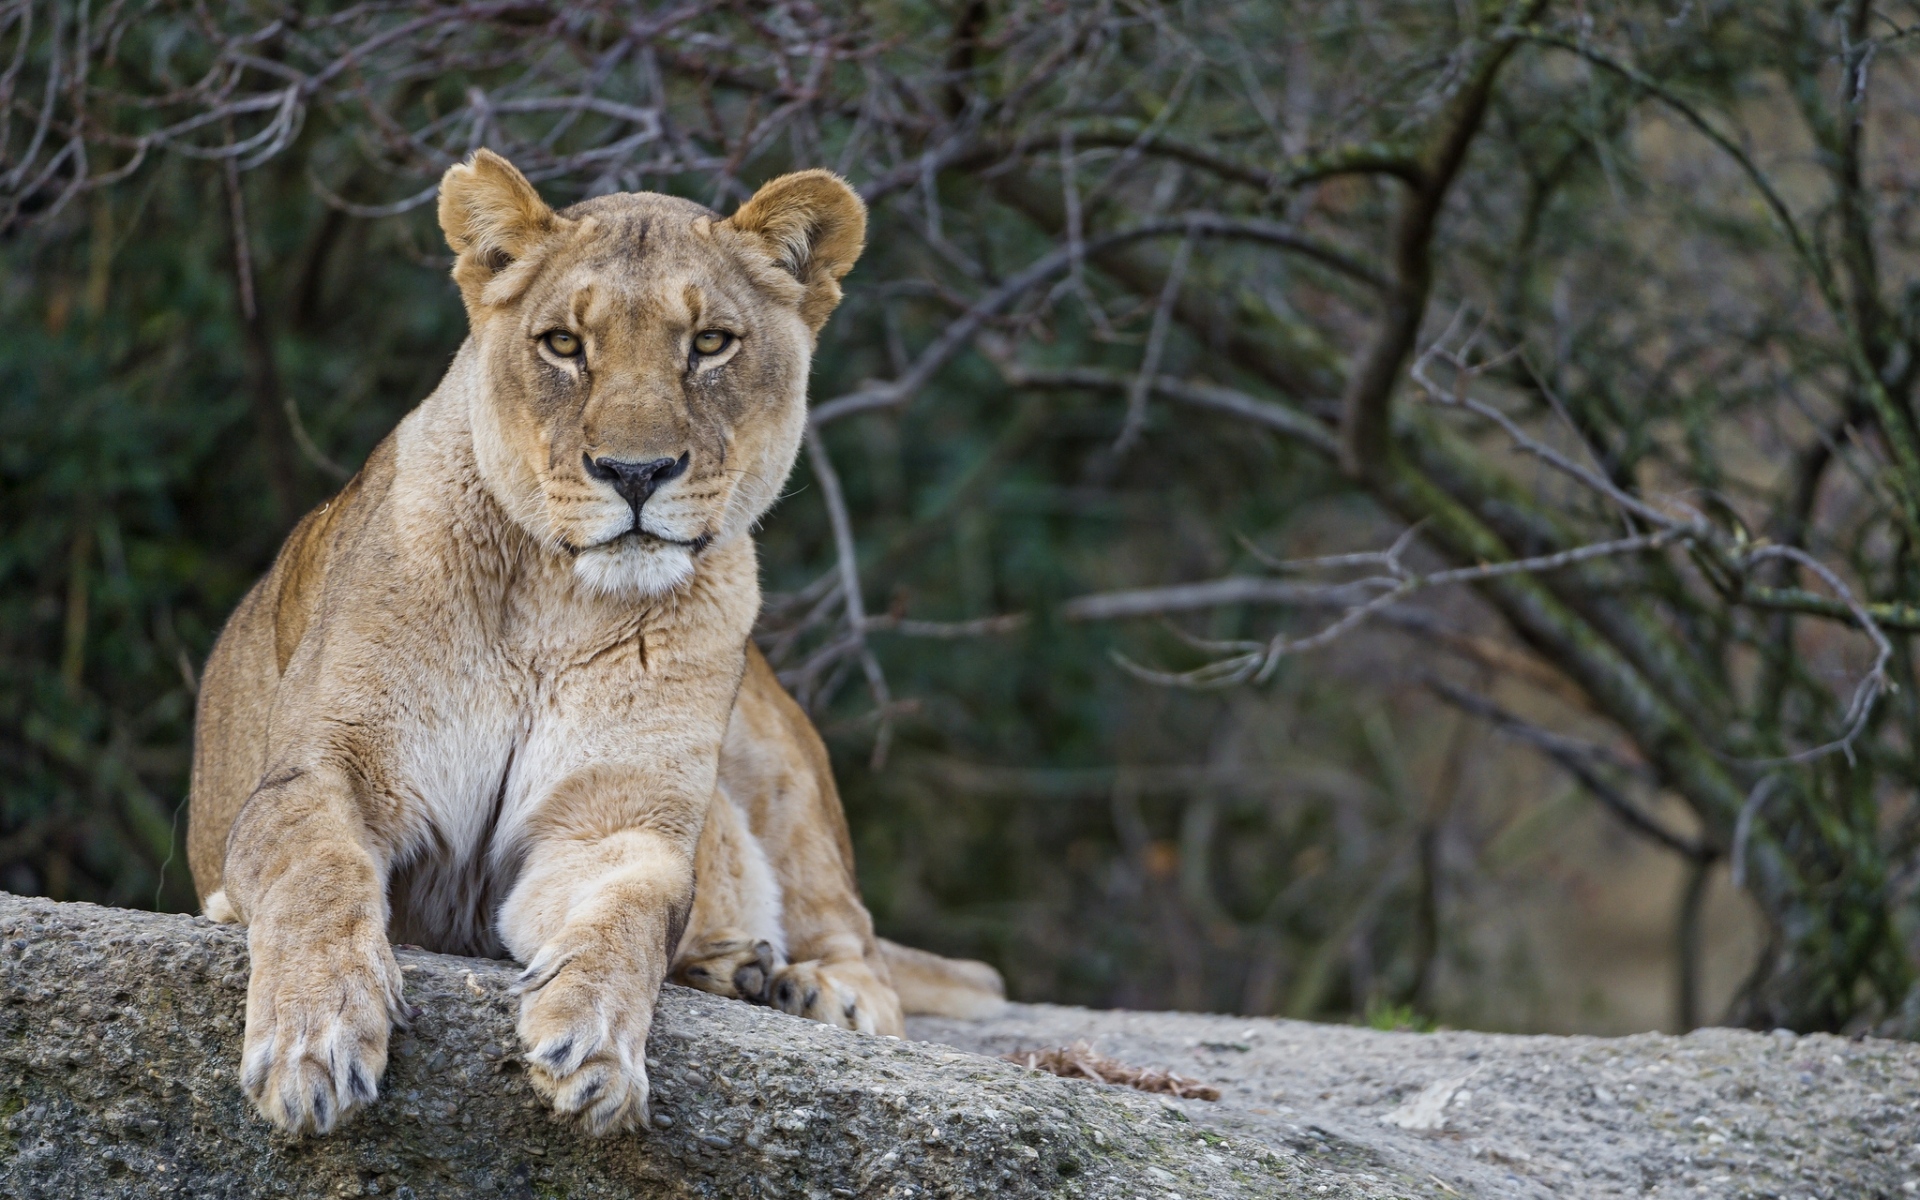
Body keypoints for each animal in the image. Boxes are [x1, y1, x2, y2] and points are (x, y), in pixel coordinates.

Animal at [185, 150, 1001, 1138]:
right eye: (564, 345)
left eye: (711, 343)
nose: (636, 472)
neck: (555, 607)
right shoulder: (319, 775)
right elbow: (316, 874)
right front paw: (316, 1040)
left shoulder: (614, 823)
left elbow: (632, 914)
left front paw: (595, 1048)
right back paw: (737, 968)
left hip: (782, 771)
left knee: (862, 944)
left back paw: (804, 987)